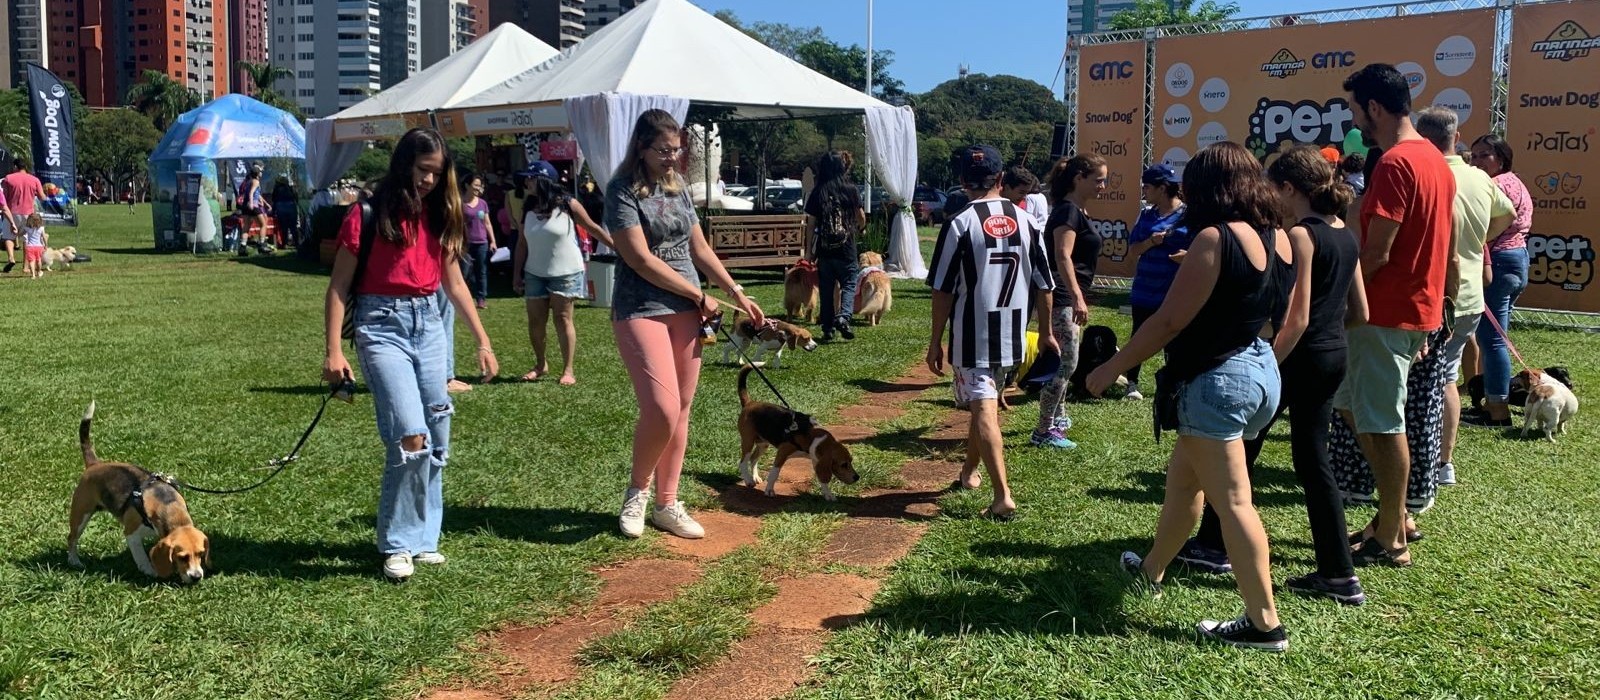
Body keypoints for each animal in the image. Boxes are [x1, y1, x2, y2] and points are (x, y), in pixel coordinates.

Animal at [68, 402, 211, 581]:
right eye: (182, 557)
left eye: (201, 554)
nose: (196, 577)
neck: (168, 505)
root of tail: (95, 464)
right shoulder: (131, 534)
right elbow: (141, 556)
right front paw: (149, 570)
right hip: (81, 514)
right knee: (72, 538)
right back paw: (74, 561)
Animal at [736, 365, 864, 498]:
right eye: (843, 464)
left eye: (851, 461)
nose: (857, 477)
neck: (812, 436)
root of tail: (750, 403)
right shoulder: (782, 453)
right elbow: (774, 474)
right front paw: (769, 490)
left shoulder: (816, 459)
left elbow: (822, 480)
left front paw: (828, 494)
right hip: (748, 441)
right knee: (743, 462)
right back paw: (748, 480)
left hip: (763, 444)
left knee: (753, 459)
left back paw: (755, 477)